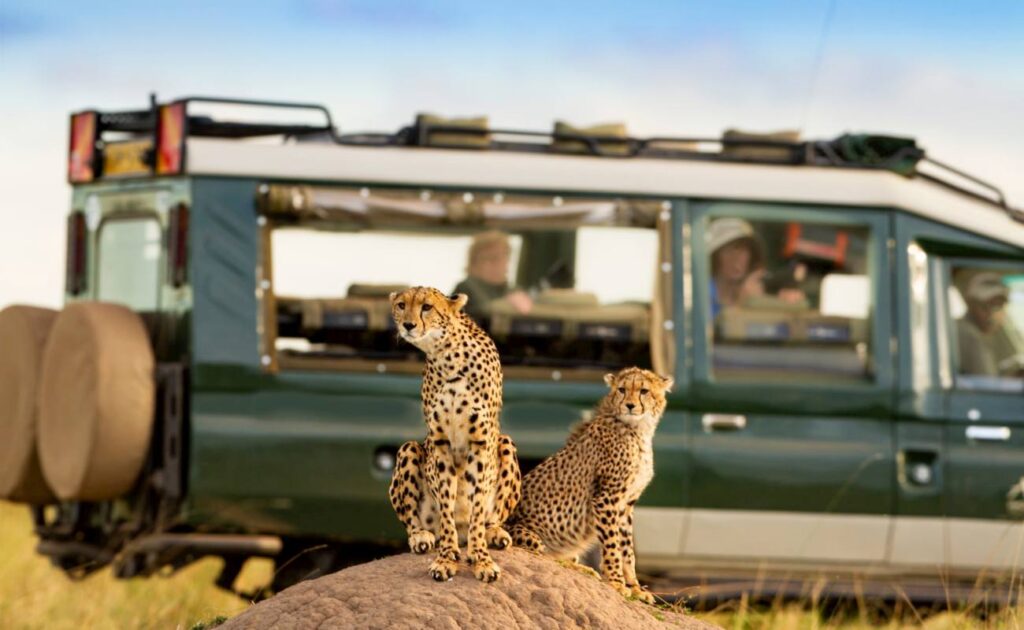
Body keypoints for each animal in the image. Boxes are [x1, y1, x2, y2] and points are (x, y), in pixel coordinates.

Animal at [387, 288, 524, 585]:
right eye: (401, 305)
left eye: (426, 307)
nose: (408, 325)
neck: (447, 358)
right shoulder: (440, 443)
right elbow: (447, 505)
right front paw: (447, 557)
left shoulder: (480, 442)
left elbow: (477, 507)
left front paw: (481, 558)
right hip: (409, 449)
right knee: (415, 520)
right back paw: (421, 537)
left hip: (505, 443)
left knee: (489, 518)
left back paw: (493, 534)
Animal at [505, 366, 671, 602]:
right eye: (622, 389)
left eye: (644, 391)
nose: (629, 405)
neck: (638, 429)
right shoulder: (606, 498)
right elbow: (612, 545)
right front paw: (617, 582)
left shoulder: (626, 504)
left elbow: (627, 549)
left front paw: (635, 587)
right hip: (529, 536)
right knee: (547, 557)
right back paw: (584, 569)